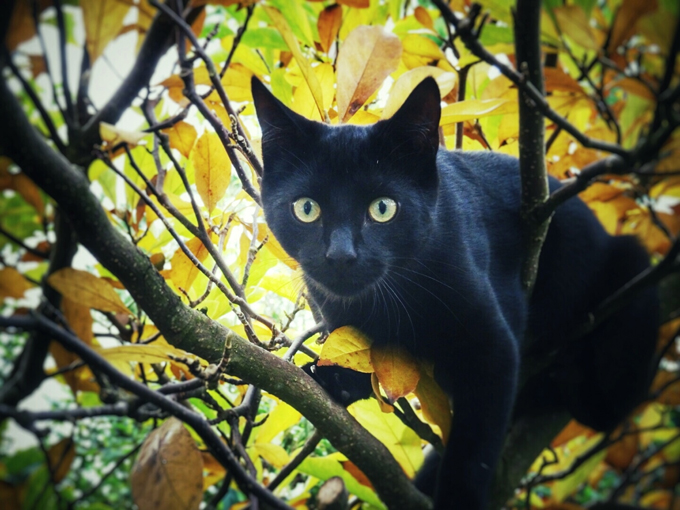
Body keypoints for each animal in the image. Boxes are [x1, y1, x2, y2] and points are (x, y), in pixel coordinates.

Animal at [251, 76, 660, 510]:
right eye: (306, 208)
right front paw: (338, 377)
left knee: (604, 406)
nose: (341, 255)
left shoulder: (494, 348)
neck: (389, 304)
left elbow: (472, 450)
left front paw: (458, 495)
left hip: (633, 269)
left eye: (383, 208)